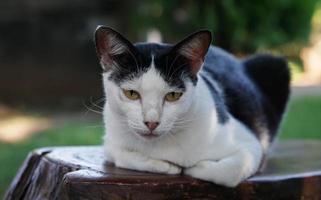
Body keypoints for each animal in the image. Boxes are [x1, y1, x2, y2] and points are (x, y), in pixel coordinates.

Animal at [93, 25, 290, 187]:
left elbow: (231, 171)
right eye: (131, 93)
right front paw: (167, 166)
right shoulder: (110, 142)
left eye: (173, 95)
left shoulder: (251, 144)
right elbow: (121, 154)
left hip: (273, 64)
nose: (151, 123)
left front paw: (194, 167)